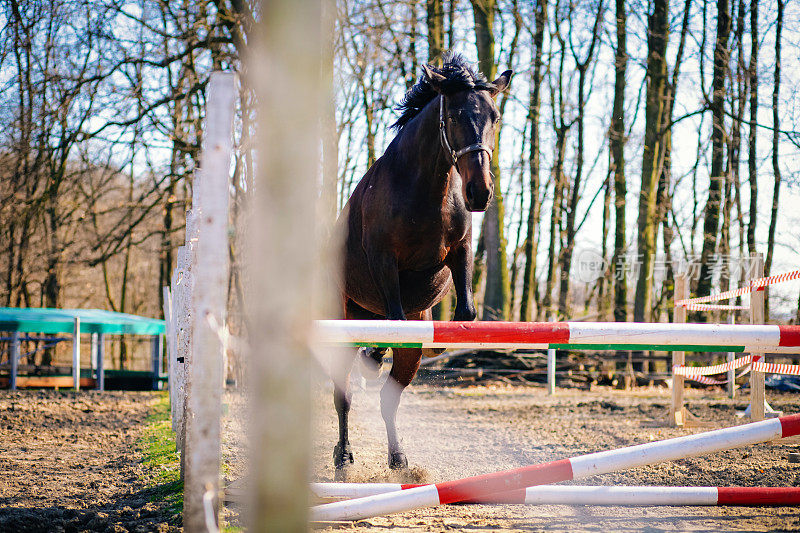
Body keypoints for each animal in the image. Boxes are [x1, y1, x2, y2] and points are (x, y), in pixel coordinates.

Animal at [332, 54, 512, 470]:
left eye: (494, 117)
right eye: (454, 116)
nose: (480, 193)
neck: (426, 187)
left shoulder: (459, 253)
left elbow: (463, 314)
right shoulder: (384, 260)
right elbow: (396, 318)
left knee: (389, 394)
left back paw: (397, 456)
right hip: (342, 318)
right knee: (343, 394)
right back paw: (344, 454)